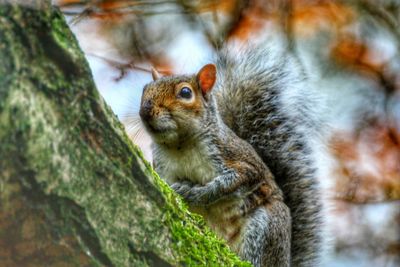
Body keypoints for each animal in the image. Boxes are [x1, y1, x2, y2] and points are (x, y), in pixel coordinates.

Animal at [139, 45, 324, 266]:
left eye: (185, 92)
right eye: (144, 89)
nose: (145, 109)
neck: (180, 145)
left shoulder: (236, 159)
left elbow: (231, 183)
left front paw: (198, 193)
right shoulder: (162, 170)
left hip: (266, 226)